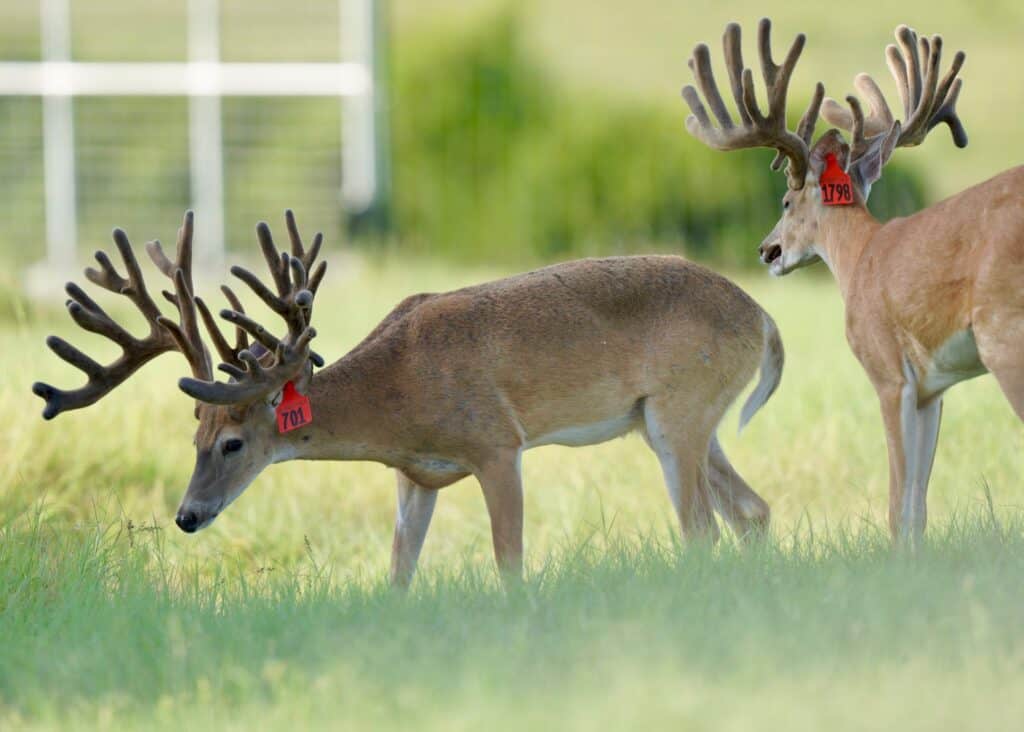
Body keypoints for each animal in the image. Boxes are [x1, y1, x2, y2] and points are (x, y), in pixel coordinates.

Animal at [32, 210, 784, 586]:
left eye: (233, 443)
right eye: (193, 440)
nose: (187, 516)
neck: (400, 393)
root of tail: (762, 318)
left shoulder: (497, 442)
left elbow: (509, 561)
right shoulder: (414, 476)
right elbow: (398, 572)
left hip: (679, 411)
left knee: (702, 528)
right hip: (678, 422)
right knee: (751, 511)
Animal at [680, 18, 1021, 546]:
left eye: (785, 201)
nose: (767, 250)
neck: (861, 255)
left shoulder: (887, 371)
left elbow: (898, 507)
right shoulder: (932, 389)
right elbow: (919, 505)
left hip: (1004, 331)